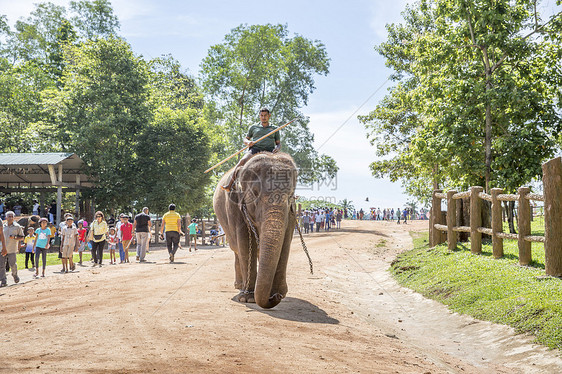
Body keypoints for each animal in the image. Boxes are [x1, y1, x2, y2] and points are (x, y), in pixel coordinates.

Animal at [211, 152, 298, 310]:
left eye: (290, 195)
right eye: (255, 193)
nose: (275, 297)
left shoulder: (291, 211)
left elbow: (286, 242)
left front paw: (280, 293)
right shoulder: (235, 205)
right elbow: (245, 242)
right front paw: (248, 298)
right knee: (236, 249)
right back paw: (240, 286)